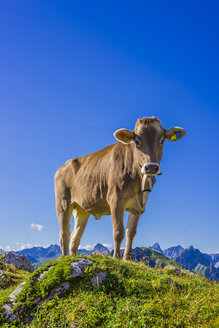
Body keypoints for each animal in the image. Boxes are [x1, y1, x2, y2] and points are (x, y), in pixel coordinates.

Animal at [54, 116, 185, 260]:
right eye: (137, 142)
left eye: (162, 140)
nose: (151, 167)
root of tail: (63, 166)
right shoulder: (115, 199)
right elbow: (118, 231)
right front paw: (116, 257)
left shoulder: (139, 205)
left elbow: (130, 232)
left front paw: (128, 259)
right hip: (63, 203)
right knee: (64, 236)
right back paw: (64, 258)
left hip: (82, 209)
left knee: (75, 238)